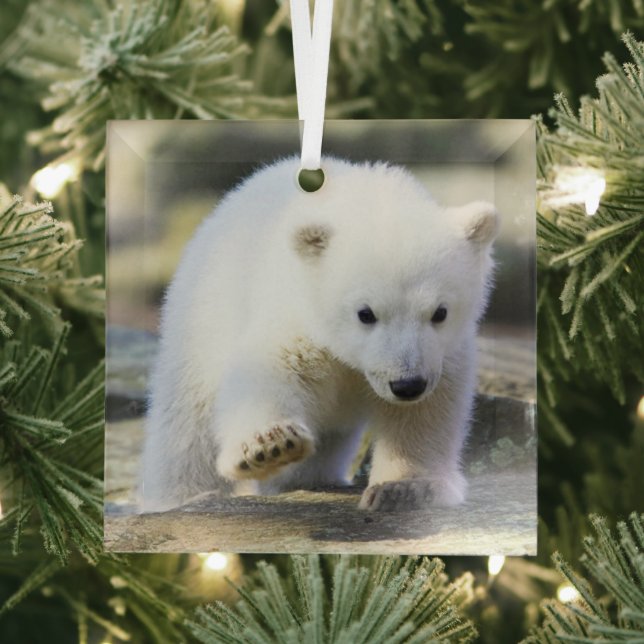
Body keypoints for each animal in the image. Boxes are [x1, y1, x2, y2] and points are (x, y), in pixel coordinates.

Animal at [140, 157, 498, 513]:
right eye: (365, 313)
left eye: (440, 312)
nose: (407, 385)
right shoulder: (298, 312)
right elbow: (270, 368)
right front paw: (269, 446)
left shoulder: (442, 353)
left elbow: (425, 412)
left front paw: (405, 488)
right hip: (202, 316)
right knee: (187, 423)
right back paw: (181, 497)